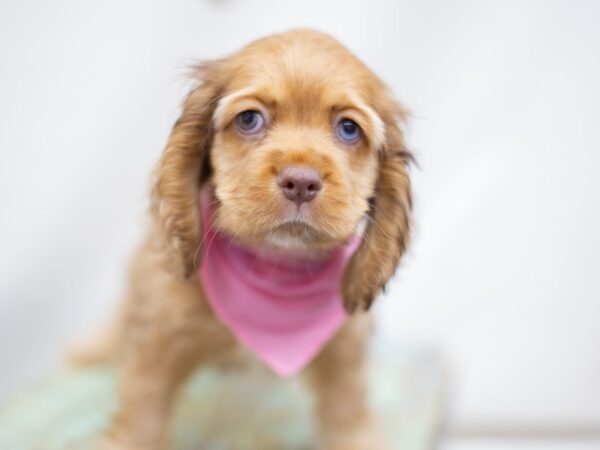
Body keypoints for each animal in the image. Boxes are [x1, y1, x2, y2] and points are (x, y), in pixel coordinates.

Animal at [85, 29, 412, 450]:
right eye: (249, 119)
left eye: (348, 128)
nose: (301, 181)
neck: (274, 266)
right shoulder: (157, 332)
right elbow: (143, 407)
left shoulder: (345, 346)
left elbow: (347, 409)